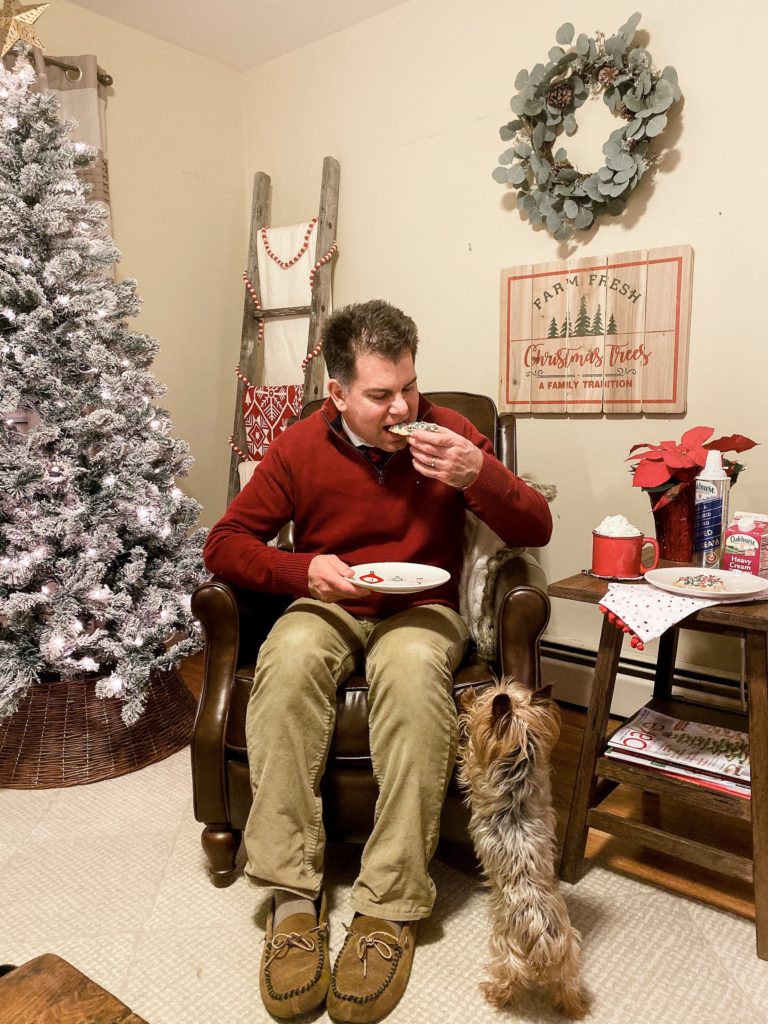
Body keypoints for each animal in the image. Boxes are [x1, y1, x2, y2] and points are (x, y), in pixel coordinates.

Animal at [460, 675, 593, 1019]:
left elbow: (468, 759)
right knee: (567, 984)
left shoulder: (477, 769)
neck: (520, 757)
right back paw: (575, 1007)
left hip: (505, 948)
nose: (480, 691)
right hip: (571, 950)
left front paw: (466, 703)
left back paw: (493, 993)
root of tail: (542, 940)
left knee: (508, 979)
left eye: (491, 696)